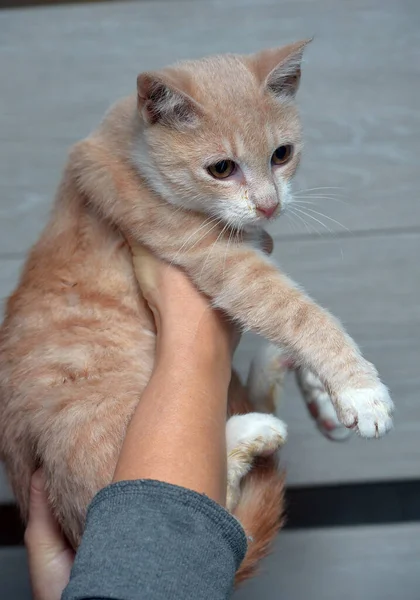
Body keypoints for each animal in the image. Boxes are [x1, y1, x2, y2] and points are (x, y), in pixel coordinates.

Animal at [0, 39, 394, 584]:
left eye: (282, 154)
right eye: (221, 169)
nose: (269, 206)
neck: (128, 145)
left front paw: (324, 391)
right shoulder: (215, 257)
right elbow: (298, 311)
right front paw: (360, 390)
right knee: (222, 506)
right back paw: (252, 431)